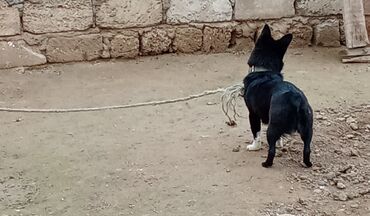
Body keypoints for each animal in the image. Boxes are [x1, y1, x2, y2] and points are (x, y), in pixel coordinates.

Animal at [244, 24, 314, 168]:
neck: (264, 70)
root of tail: (297, 100)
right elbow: (279, 137)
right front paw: (280, 142)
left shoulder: (252, 114)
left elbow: (256, 133)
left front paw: (254, 147)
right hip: (308, 128)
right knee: (307, 148)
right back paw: (307, 163)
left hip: (272, 127)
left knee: (271, 150)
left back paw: (266, 163)